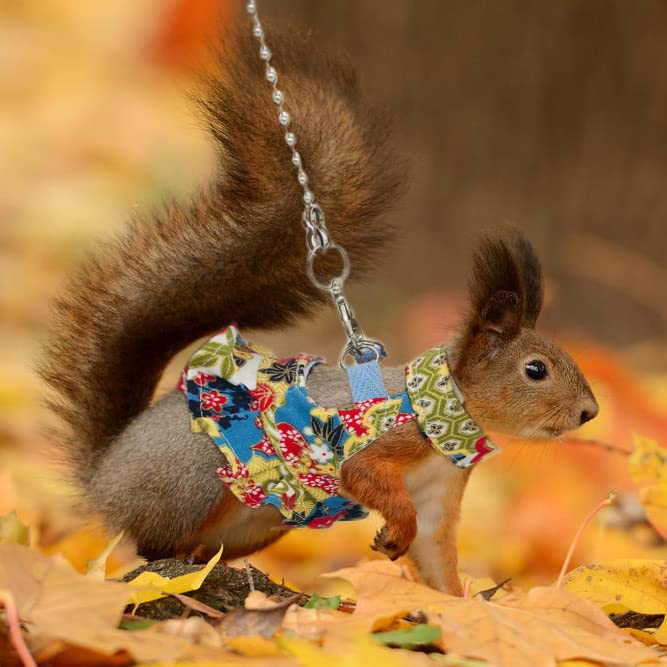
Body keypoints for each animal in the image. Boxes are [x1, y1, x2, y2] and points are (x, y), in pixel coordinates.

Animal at [40, 27, 599, 596]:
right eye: (536, 370)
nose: (589, 412)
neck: (443, 411)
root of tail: (104, 472)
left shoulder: (438, 491)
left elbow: (435, 553)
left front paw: (461, 602)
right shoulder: (371, 450)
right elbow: (369, 481)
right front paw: (394, 532)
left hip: (262, 524)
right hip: (193, 485)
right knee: (146, 544)